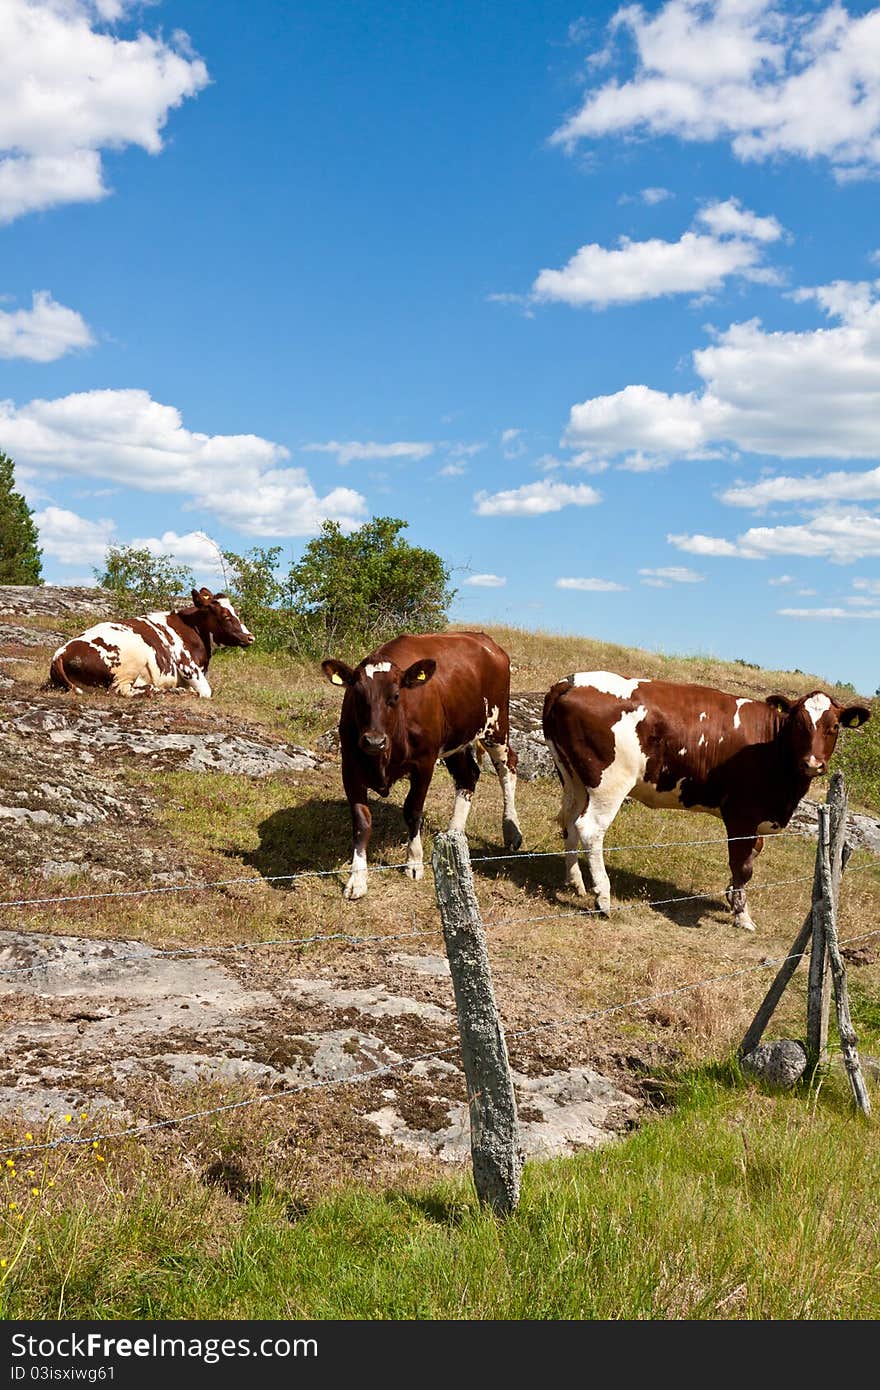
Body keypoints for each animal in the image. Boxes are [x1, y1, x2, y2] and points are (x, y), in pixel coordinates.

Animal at [47, 586, 254, 695]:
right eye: (226, 616)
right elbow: (206, 692)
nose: (250, 637)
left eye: (236, 612)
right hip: (132, 658)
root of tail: (61, 653)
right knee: (123, 690)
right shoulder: (188, 667)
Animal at [321, 633, 522, 900]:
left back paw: (511, 830)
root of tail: (483, 638)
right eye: (358, 695)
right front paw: (357, 878)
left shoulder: (424, 763)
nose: (374, 740)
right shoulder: (351, 767)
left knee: (507, 768)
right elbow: (361, 822)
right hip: (456, 740)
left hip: (496, 726)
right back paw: (454, 836)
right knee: (468, 777)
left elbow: (413, 810)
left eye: (396, 696)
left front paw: (414, 861)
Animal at [539, 672, 867, 934]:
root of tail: (570, 681)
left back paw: (575, 882)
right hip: (610, 782)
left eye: (834, 726)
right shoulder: (742, 814)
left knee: (569, 820)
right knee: (590, 828)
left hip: (573, 776)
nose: (812, 763)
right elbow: (743, 865)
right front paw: (742, 916)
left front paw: (731, 895)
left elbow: (752, 854)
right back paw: (603, 898)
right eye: (798, 725)